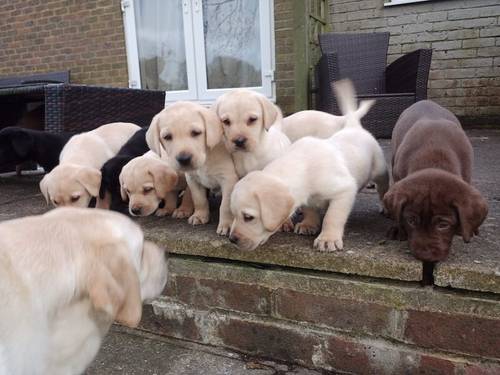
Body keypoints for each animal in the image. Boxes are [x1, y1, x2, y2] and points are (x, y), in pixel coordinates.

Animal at [146, 101, 238, 236]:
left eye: (195, 133)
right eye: (167, 137)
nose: (184, 159)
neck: (205, 158)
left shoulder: (228, 179)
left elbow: (225, 205)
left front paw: (227, 224)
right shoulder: (192, 179)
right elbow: (199, 199)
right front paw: (200, 216)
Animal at [228, 81, 386, 253]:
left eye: (248, 217)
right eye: (233, 214)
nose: (232, 239)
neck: (303, 168)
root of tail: (353, 126)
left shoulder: (345, 190)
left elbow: (332, 217)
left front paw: (328, 238)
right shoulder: (306, 197)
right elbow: (310, 209)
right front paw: (308, 224)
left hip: (380, 169)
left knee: (383, 186)